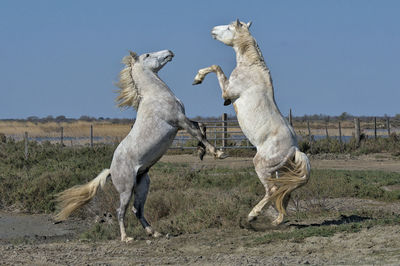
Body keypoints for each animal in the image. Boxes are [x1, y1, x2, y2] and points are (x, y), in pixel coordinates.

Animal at [54, 48, 227, 242]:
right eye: (148, 55)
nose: (169, 52)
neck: (156, 96)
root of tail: (111, 170)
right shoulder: (178, 121)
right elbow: (198, 131)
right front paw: (217, 153)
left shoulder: (182, 121)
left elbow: (201, 127)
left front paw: (201, 152)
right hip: (126, 189)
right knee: (120, 211)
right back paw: (126, 238)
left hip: (143, 185)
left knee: (137, 209)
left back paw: (154, 232)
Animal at [192, 19, 310, 225]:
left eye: (229, 28)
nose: (213, 30)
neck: (251, 68)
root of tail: (294, 149)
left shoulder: (228, 89)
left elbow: (216, 67)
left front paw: (197, 78)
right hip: (280, 171)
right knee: (283, 193)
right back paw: (276, 221)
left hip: (262, 167)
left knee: (272, 191)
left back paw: (252, 215)